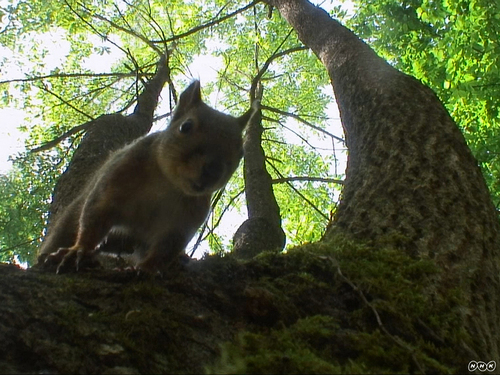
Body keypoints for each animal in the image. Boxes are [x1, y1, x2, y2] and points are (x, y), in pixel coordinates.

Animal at [38, 81, 254, 274]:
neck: (167, 184)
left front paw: (149, 268)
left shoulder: (184, 221)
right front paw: (79, 250)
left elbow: (166, 249)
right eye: (185, 126)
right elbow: (96, 216)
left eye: (242, 152)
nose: (213, 172)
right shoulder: (117, 178)